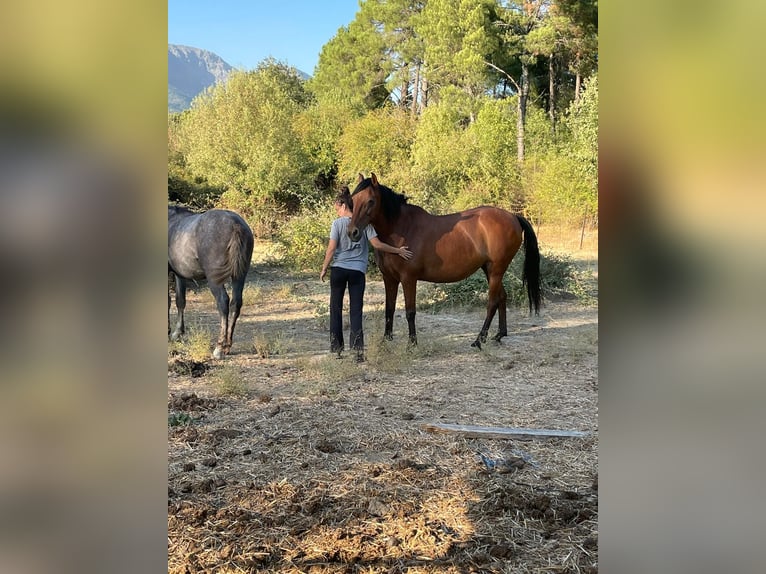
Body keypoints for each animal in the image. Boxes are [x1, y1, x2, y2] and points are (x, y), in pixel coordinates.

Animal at [168, 206, 255, 360]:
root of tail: (235, 225)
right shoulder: (180, 274)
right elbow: (180, 301)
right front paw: (178, 332)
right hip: (239, 275)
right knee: (236, 303)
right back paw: (227, 346)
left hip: (214, 279)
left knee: (223, 302)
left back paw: (219, 347)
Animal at [352, 173, 544, 348]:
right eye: (353, 199)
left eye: (370, 201)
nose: (352, 232)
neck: (401, 230)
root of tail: (513, 216)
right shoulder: (389, 278)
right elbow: (389, 309)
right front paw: (386, 340)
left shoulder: (408, 279)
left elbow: (410, 312)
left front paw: (412, 344)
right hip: (489, 269)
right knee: (502, 297)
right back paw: (498, 335)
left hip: (496, 270)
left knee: (492, 303)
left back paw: (478, 340)